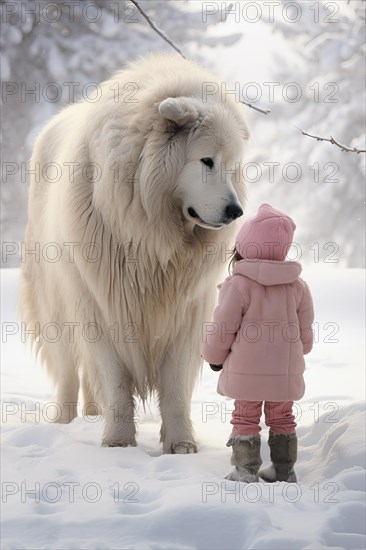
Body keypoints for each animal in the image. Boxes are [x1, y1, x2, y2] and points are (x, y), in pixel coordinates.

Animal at [19, 54, 249, 454]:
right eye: (206, 160)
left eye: (232, 166)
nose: (235, 212)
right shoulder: (102, 306)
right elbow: (115, 381)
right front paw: (118, 441)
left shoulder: (184, 313)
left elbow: (174, 388)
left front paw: (181, 444)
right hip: (57, 307)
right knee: (68, 372)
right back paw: (64, 421)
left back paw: (91, 415)